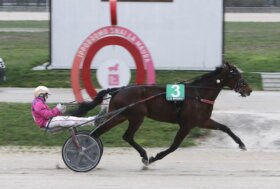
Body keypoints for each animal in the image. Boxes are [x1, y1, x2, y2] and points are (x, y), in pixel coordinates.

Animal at [71, 62, 252, 165]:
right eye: (236, 74)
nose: (249, 90)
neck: (198, 94)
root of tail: (119, 90)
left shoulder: (202, 121)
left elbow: (225, 127)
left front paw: (242, 144)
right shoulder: (186, 125)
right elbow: (174, 146)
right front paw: (155, 157)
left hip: (121, 115)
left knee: (100, 132)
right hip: (136, 116)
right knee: (126, 136)